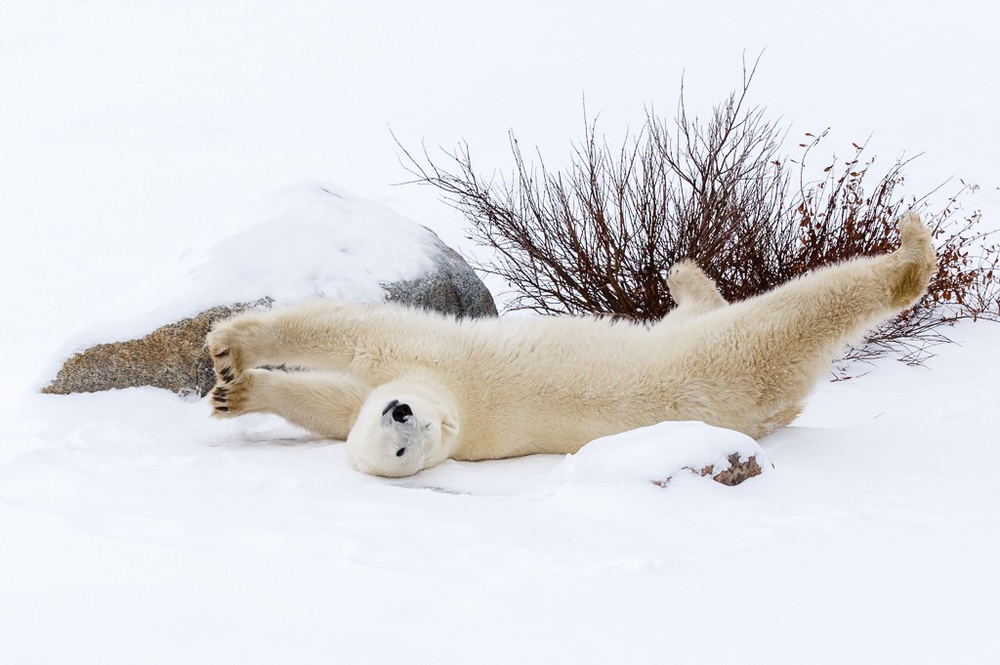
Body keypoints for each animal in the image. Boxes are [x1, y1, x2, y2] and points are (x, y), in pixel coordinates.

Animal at [209, 210, 936, 474]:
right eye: (398, 446)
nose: (402, 411)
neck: (460, 417)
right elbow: (336, 403)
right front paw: (237, 390)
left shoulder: (439, 363)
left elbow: (363, 337)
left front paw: (228, 354)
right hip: (728, 364)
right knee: (780, 321)